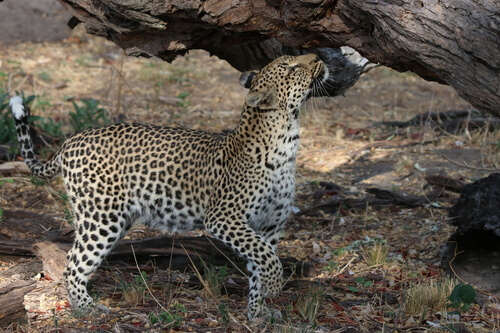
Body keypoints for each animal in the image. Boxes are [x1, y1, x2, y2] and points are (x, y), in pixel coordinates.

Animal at [10, 53, 328, 320]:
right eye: (291, 67)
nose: (318, 57)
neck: (287, 140)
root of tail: (70, 141)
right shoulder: (224, 218)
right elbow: (266, 257)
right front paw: (274, 286)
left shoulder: (269, 226)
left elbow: (259, 264)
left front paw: (258, 312)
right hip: (101, 218)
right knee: (73, 263)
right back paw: (87, 309)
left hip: (115, 218)